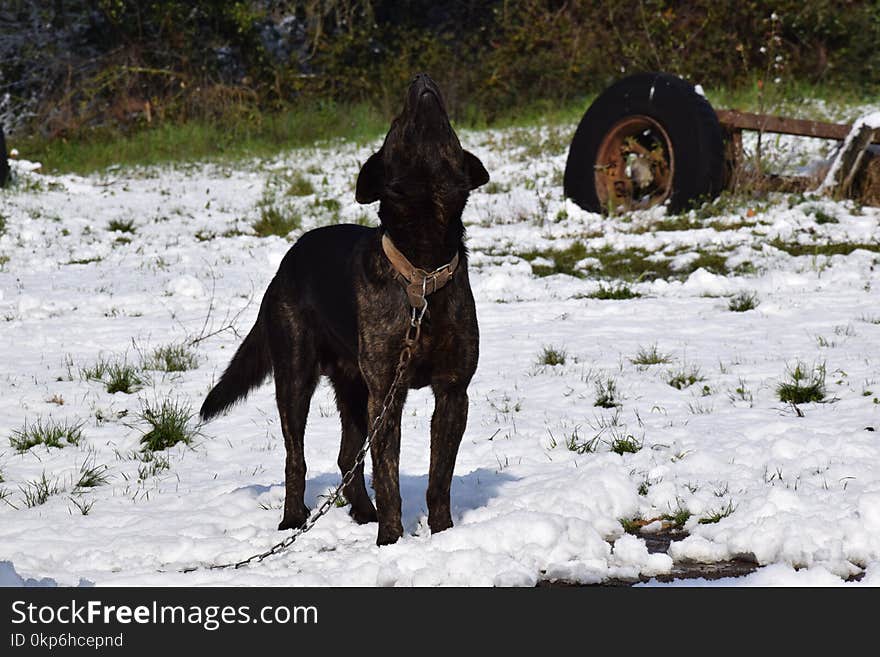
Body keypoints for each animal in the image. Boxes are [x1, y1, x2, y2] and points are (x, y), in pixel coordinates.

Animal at [199, 72, 488, 544]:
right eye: (397, 124)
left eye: (447, 127)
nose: (421, 79)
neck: (423, 268)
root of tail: (287, 262)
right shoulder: (387, 393)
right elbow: (388, 476)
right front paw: (391, 539)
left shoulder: (452, 391)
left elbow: (439, 477)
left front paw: (443, 532)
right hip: (296, 377)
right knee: (295, 456)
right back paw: (294, 518)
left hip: (353, 389)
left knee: (346, 456)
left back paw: (361, 511)